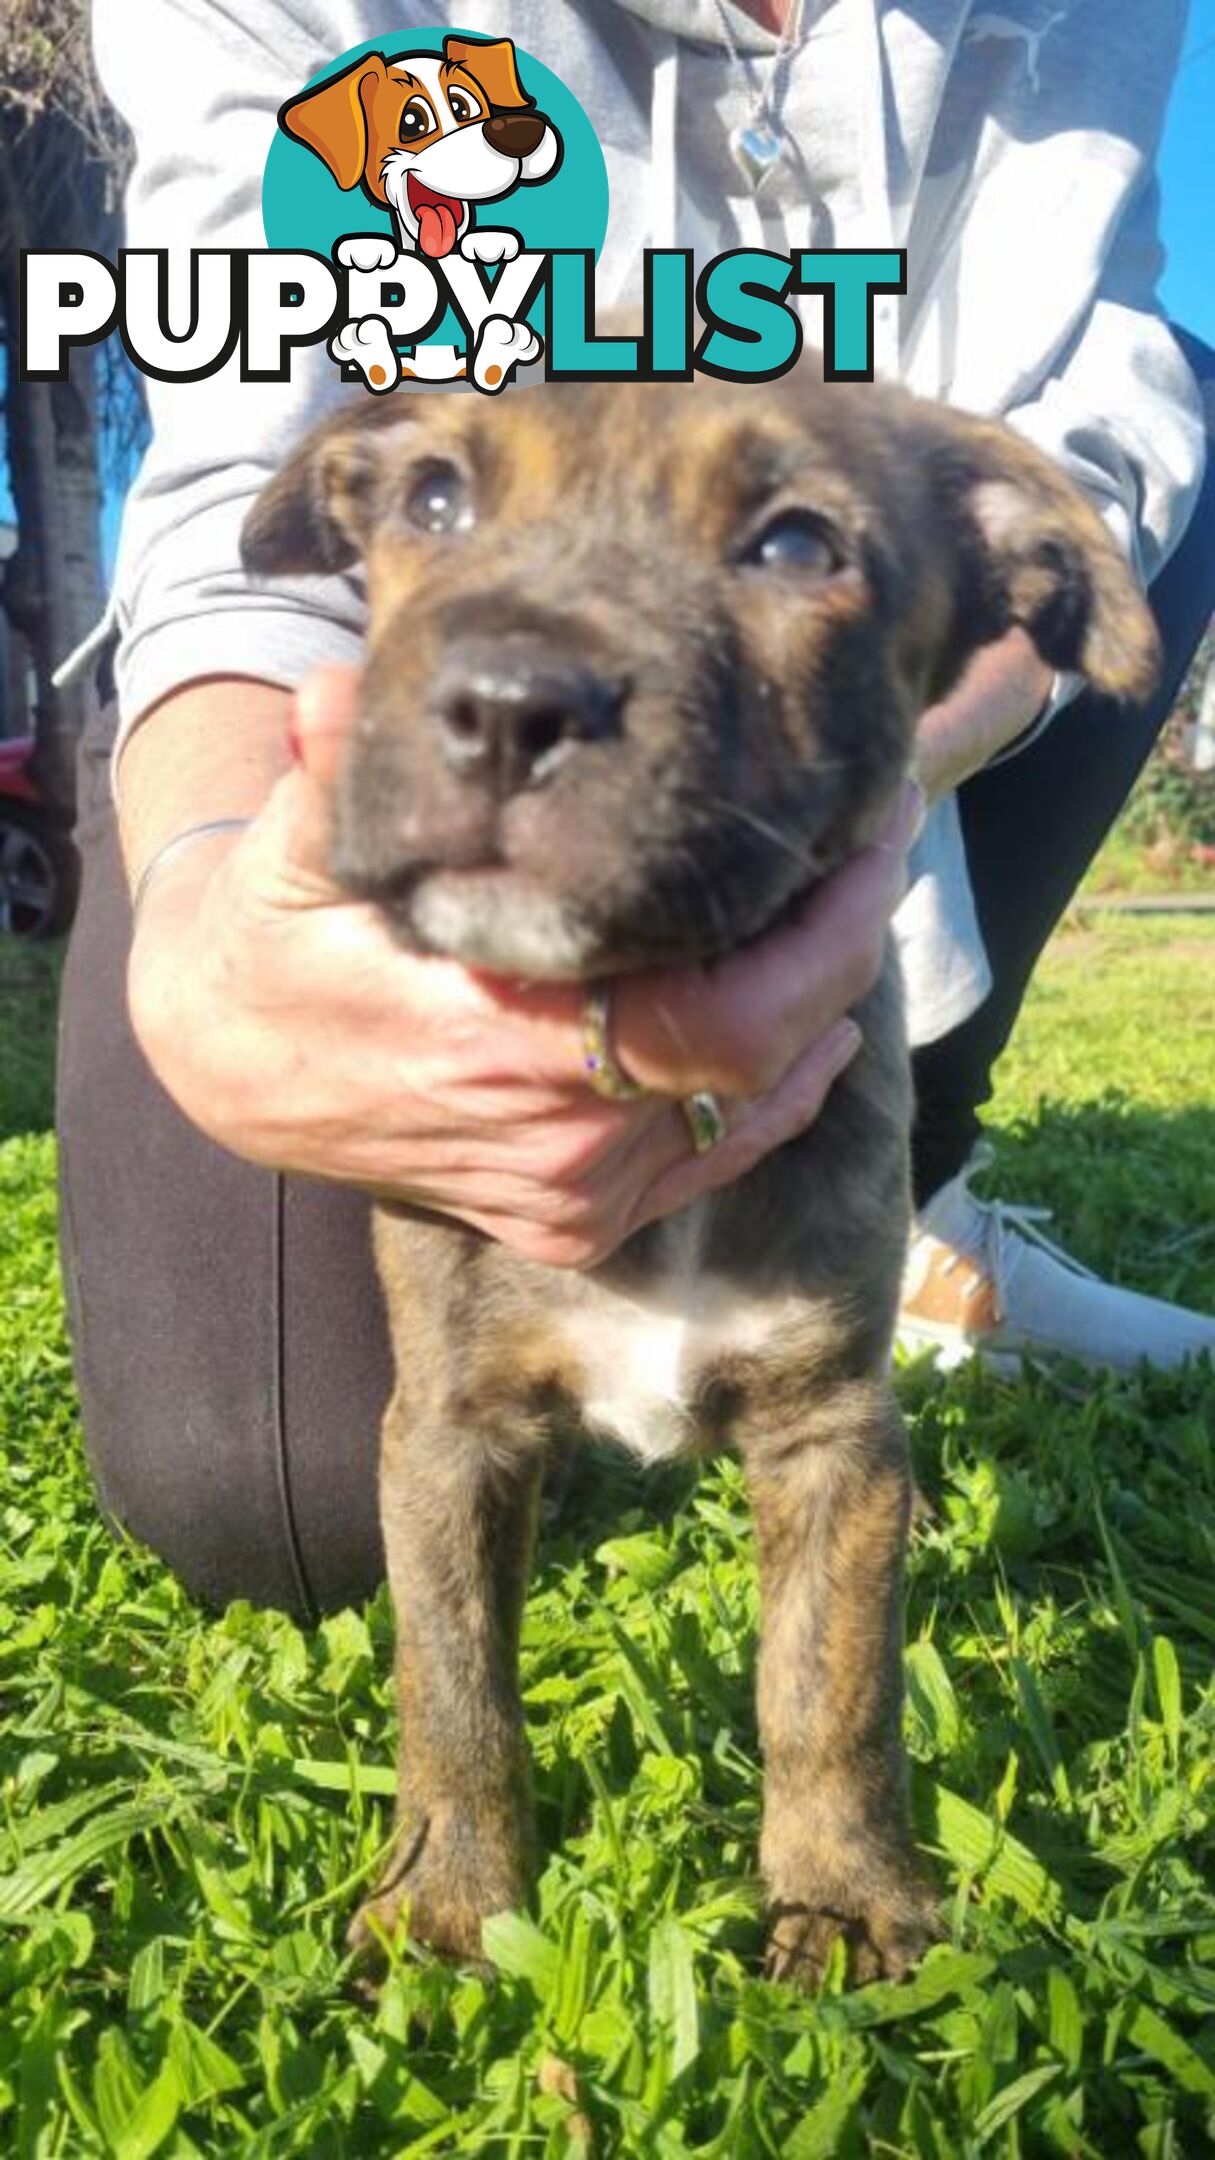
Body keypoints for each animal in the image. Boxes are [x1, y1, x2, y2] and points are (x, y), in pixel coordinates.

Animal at [243, 362, 1150, 1978]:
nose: (507, 703)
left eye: (796, 547)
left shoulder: (831, 1432)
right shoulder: (444, 1432)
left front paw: (842, 1899)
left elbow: (829, 1686)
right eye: (433, 501)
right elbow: (451, 1680)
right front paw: (453, 1898)